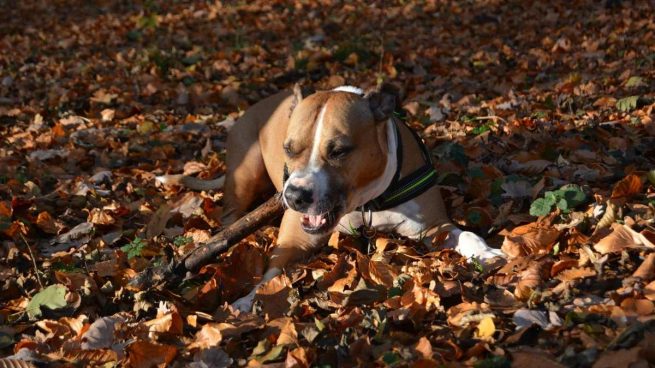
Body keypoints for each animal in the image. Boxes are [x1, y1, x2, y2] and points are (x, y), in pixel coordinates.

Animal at [161, 84, 504, 310]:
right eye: (288, 149)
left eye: (339, 151)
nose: (295, 196)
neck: (365, 203)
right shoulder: (294, 240)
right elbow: (269, 276)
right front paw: (247, 301)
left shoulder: (435, 226)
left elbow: (466, 234)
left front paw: (486, 252)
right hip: (244, 172)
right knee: (230, 214)